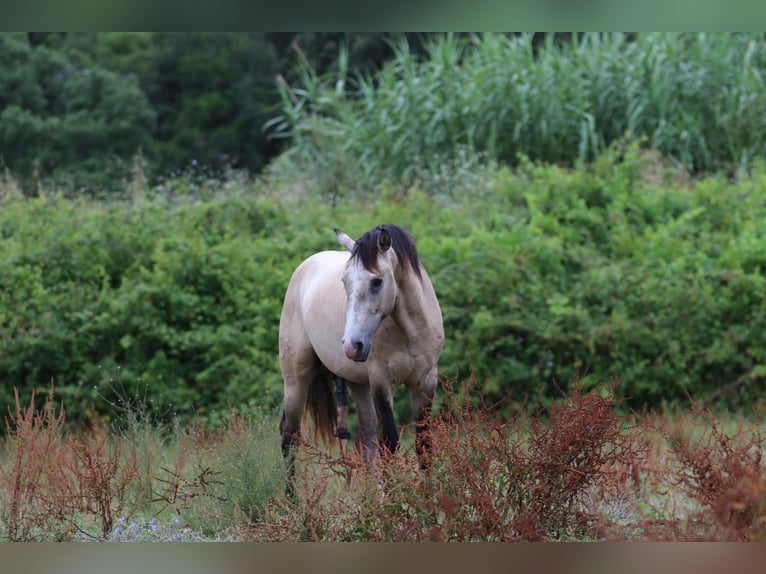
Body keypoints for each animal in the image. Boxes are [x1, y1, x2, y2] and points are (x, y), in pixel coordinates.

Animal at [278, 224, 444, 496]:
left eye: (377, 281)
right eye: (344, 282)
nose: (351, 345)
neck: (408, 331)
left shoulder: (425, 382)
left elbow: (424, 446)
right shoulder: (381, 382)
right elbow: (390, 444)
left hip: (358, 384)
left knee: (366, 441)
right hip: (296, 379)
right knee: (289, 436)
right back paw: (292, 502)